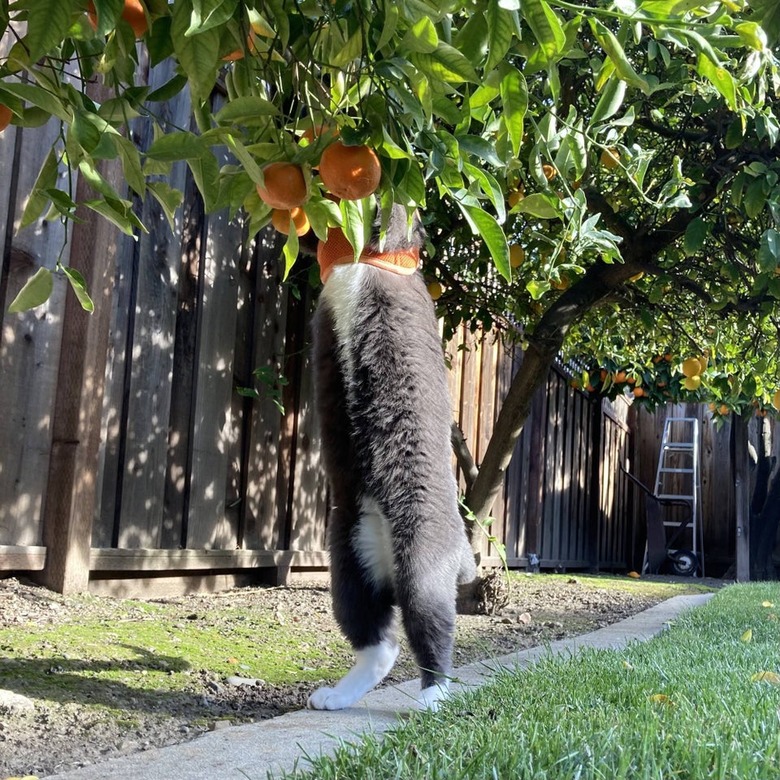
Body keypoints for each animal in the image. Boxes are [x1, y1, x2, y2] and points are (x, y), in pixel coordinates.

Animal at [304, 207, 476, 712]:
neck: (372, 261)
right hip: (349, 561)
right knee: (378, 643)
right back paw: (339, 694)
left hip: (420, 561)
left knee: (430, 635)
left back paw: (433, 699)